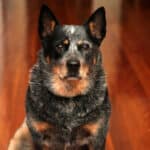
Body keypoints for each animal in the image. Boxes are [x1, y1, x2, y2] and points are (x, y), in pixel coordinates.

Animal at [8, 4, 111, 149]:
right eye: (60, 45)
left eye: (85, 46)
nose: (73, 64)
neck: (69, 98)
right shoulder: (39, 137)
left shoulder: (97, 136)